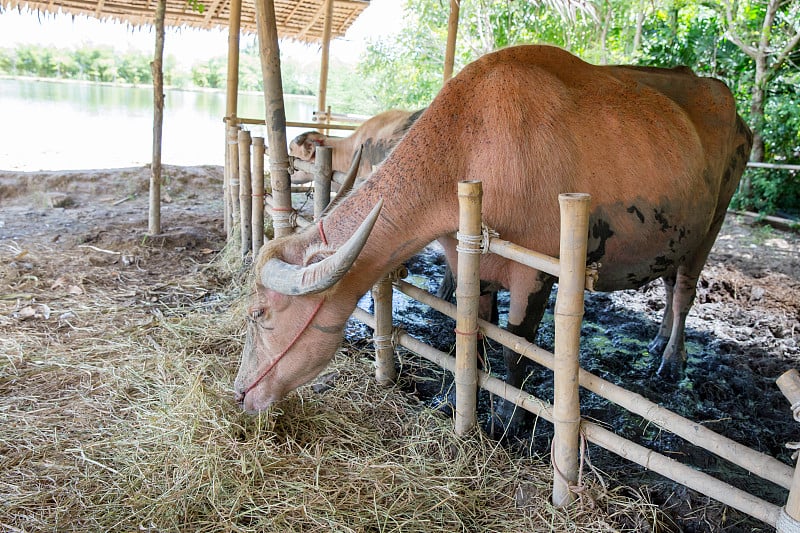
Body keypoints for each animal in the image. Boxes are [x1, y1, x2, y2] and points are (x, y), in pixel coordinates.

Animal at [234, 45, 752, 420]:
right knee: (668, 283)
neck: (472, 144)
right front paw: (454, 404)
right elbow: (475, 341)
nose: (240, 392)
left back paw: (671, 361)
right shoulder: (471, 264)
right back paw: (659, 342)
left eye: (259, 313)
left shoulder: (537, 277)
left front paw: (509, 424)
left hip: (714, 223)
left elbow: (516, 357)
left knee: (683, 292)